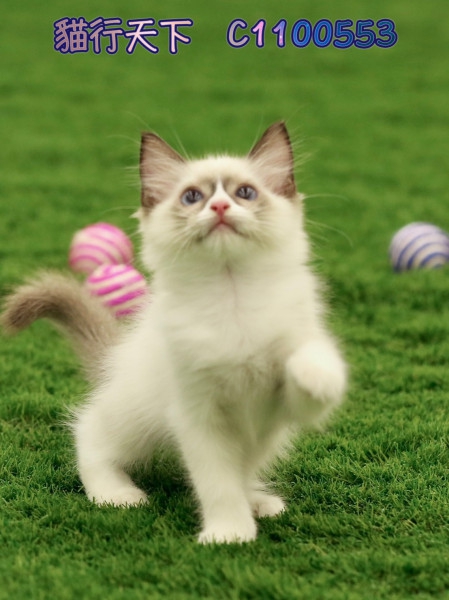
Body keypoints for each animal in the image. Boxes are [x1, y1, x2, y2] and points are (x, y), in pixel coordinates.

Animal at [1, 122, 347, 544]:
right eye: (193, 197)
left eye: (245, 193)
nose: (219, 208)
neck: (231, 296)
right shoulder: (197, 414)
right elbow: (218, 482)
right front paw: (229, 534)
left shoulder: (282, 408)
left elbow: (309, 362)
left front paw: (314, 370)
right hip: (134, 419)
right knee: (89, 432)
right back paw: (116, 492)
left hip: (264, 438)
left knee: (245, 467)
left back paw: (257, 500)